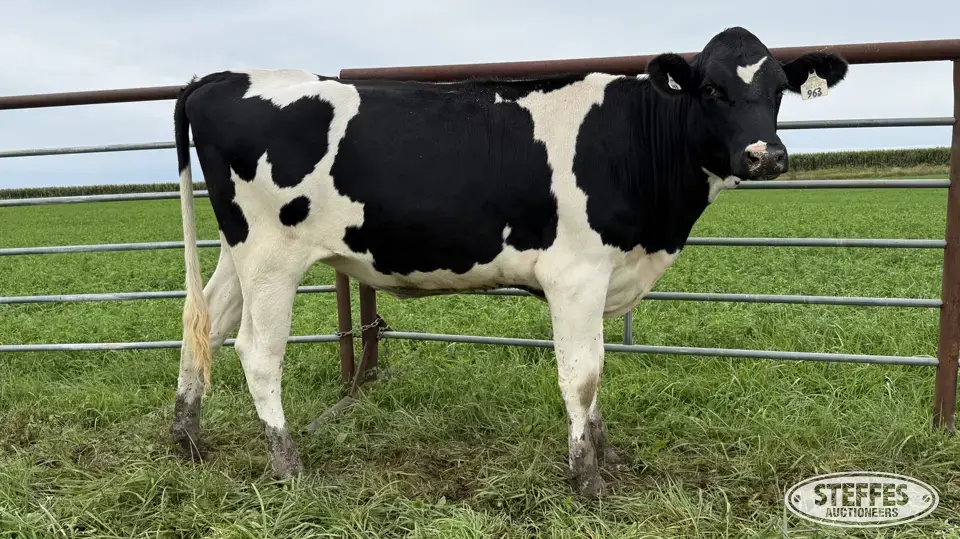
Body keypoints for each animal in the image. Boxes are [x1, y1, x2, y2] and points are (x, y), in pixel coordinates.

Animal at [169, 26, 848, 497]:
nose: (767, 155)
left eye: (780, 91)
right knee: (256, 351)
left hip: (238, 252)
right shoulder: (576, 275)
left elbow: (594, 373)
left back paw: (186, 439)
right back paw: (287, 466)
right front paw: (587, 478)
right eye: (711, 89)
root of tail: (221, 77)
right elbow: (583, 373)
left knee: (203, 324)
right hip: (271, 255)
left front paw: (604, 451)